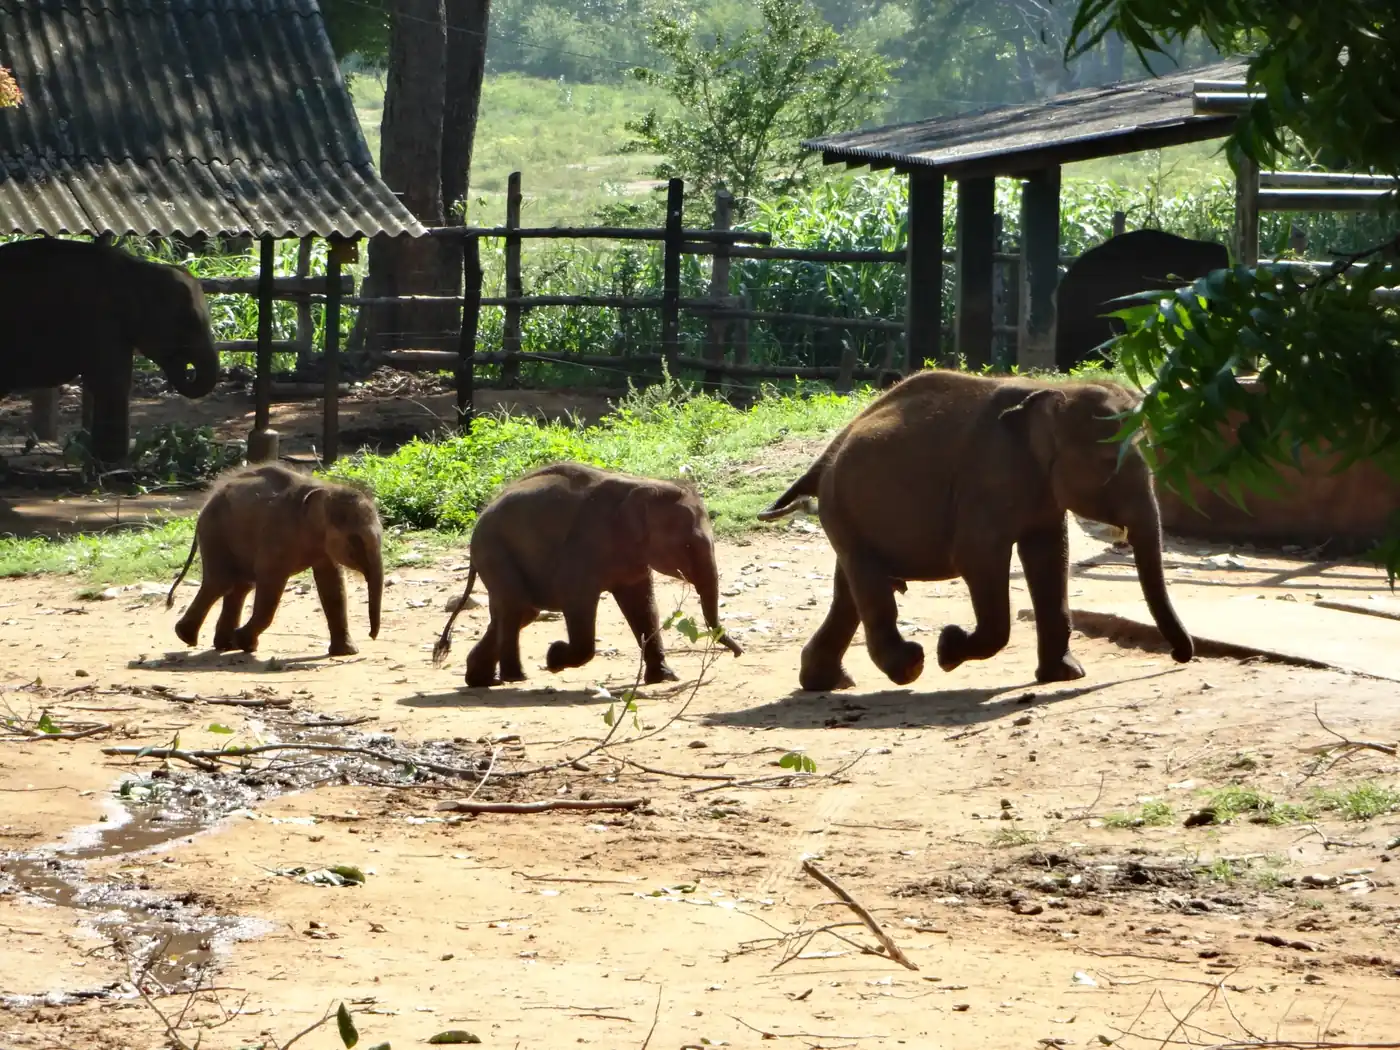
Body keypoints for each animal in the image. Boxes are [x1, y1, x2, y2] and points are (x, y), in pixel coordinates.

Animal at [0, 237, 219, 463]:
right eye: (189, 321)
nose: (185, 366)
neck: (138, 269)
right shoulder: (102, 321)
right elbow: (113, 383)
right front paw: (112, 463)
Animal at [166, 463, 384, 657]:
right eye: (355, 540)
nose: (371, 635)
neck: (325, 489)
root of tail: (208, 499)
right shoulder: (278, 534)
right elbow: (271, 583)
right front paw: (244, 640)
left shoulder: (323, 547)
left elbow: (332, 585)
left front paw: (346, 652)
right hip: (215, 532)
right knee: (221, 582)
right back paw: (190, 637)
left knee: (240, 586)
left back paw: (225, 645)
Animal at [433, 462, 744, 688]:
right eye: (689, 545)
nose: (739, 652)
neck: (644, 485)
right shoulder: (584, 547)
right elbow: (578, 600)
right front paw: (554, 658)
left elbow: (642, 605)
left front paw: (665, 678)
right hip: (494, 550)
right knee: (515, 608)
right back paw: (515, 677)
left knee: (521, 612)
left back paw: (480, 680)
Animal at [757, 369, 1194, 691]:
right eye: (1108, 462)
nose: (1179, 657)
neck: (1052, 393)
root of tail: (825, 455)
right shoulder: (988, 478)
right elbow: (978, 558)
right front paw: (948, 649)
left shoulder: (1040, 491)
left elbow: (1050, 556)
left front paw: (1066, 676)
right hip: (845, 508)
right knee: (868, 584)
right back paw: (910, 667)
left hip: (850, 512)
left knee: (848, 591)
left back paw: (827, 682)